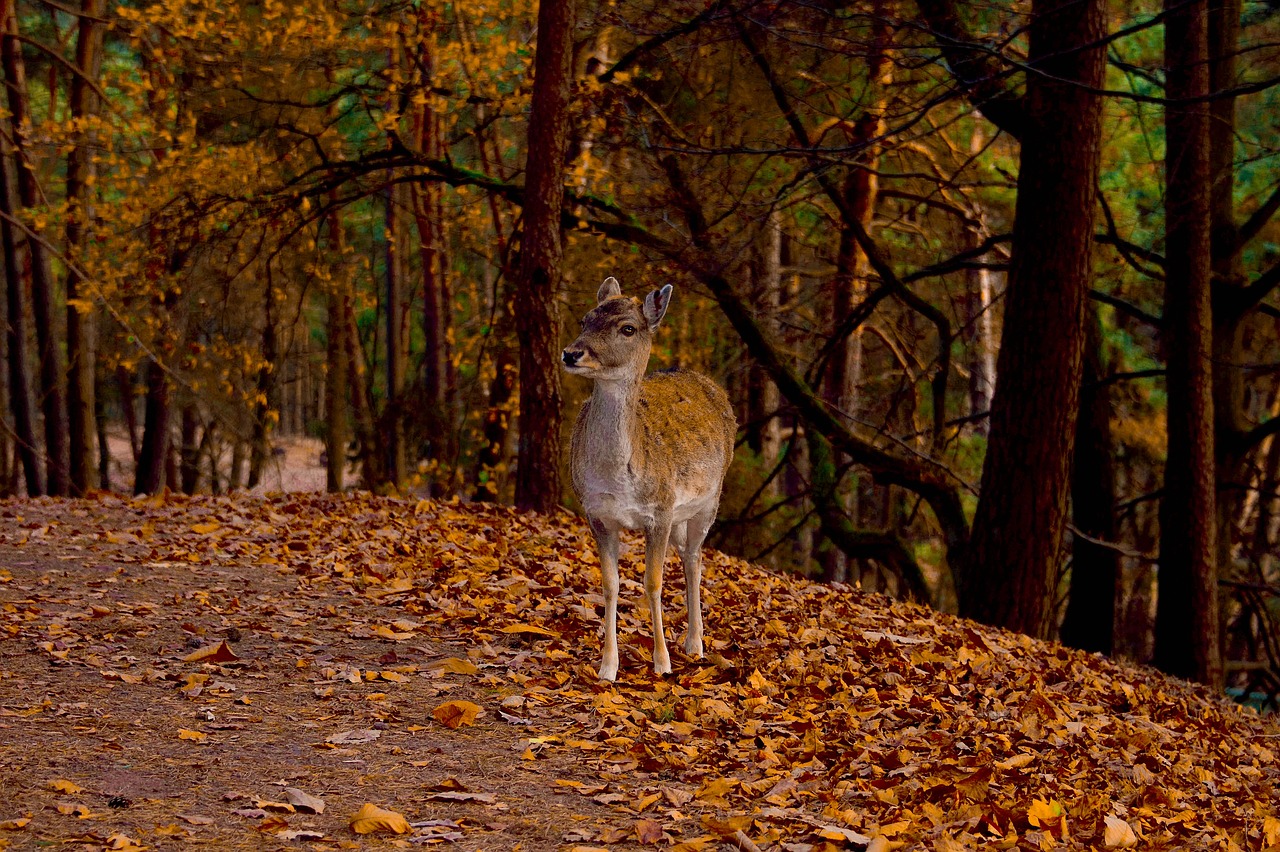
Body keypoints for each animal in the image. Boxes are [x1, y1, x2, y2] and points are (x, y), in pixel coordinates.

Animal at [563, 275, 737, 680]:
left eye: (628, 328)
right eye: (586, 319)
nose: (571, 354)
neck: (617, 479)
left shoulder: (659, 510)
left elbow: (653, 583)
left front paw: (661, 662)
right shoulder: (597, 514)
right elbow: (610, 585)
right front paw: (607, 666)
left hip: (709, 500)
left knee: (694, 558)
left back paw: (694, 643)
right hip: (680, 517)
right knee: (687, 554)